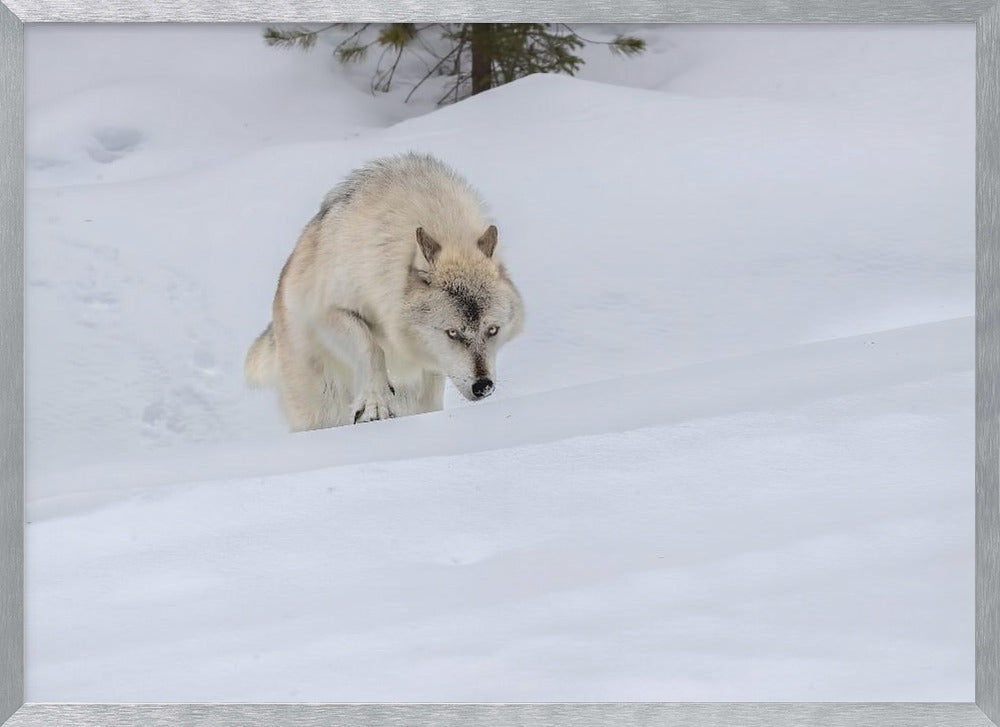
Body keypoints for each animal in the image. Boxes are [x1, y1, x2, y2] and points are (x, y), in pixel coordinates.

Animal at [244, 151, 524, 430]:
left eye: (492, 330)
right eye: (452, 332)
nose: (483, 386)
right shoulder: (328, 314)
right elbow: (372, 347)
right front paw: (374, 404)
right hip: (319, 410)